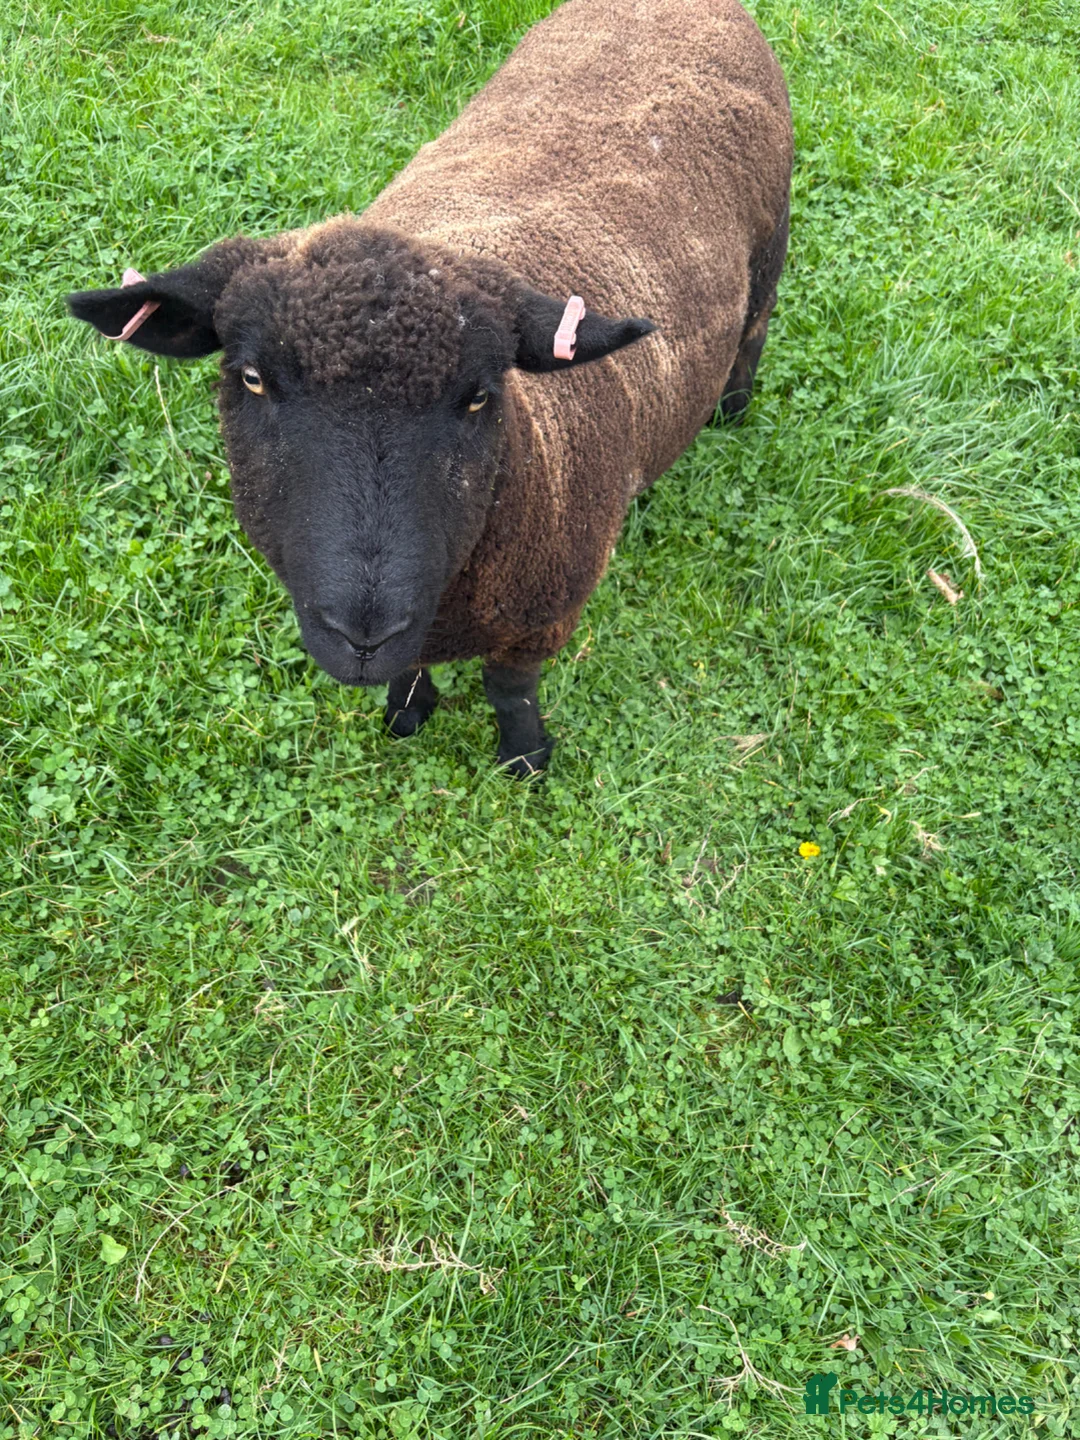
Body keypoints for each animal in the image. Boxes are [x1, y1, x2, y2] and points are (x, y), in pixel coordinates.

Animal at [67, 0, 793, 777]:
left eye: (477, 396)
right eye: (253, 378)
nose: (362, 632)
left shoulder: (545, 616)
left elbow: (509, 687)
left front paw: (524, 757)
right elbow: (413, 672)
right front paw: (406, 712)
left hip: (769, 248)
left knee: (753, 331)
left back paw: (732, 410)